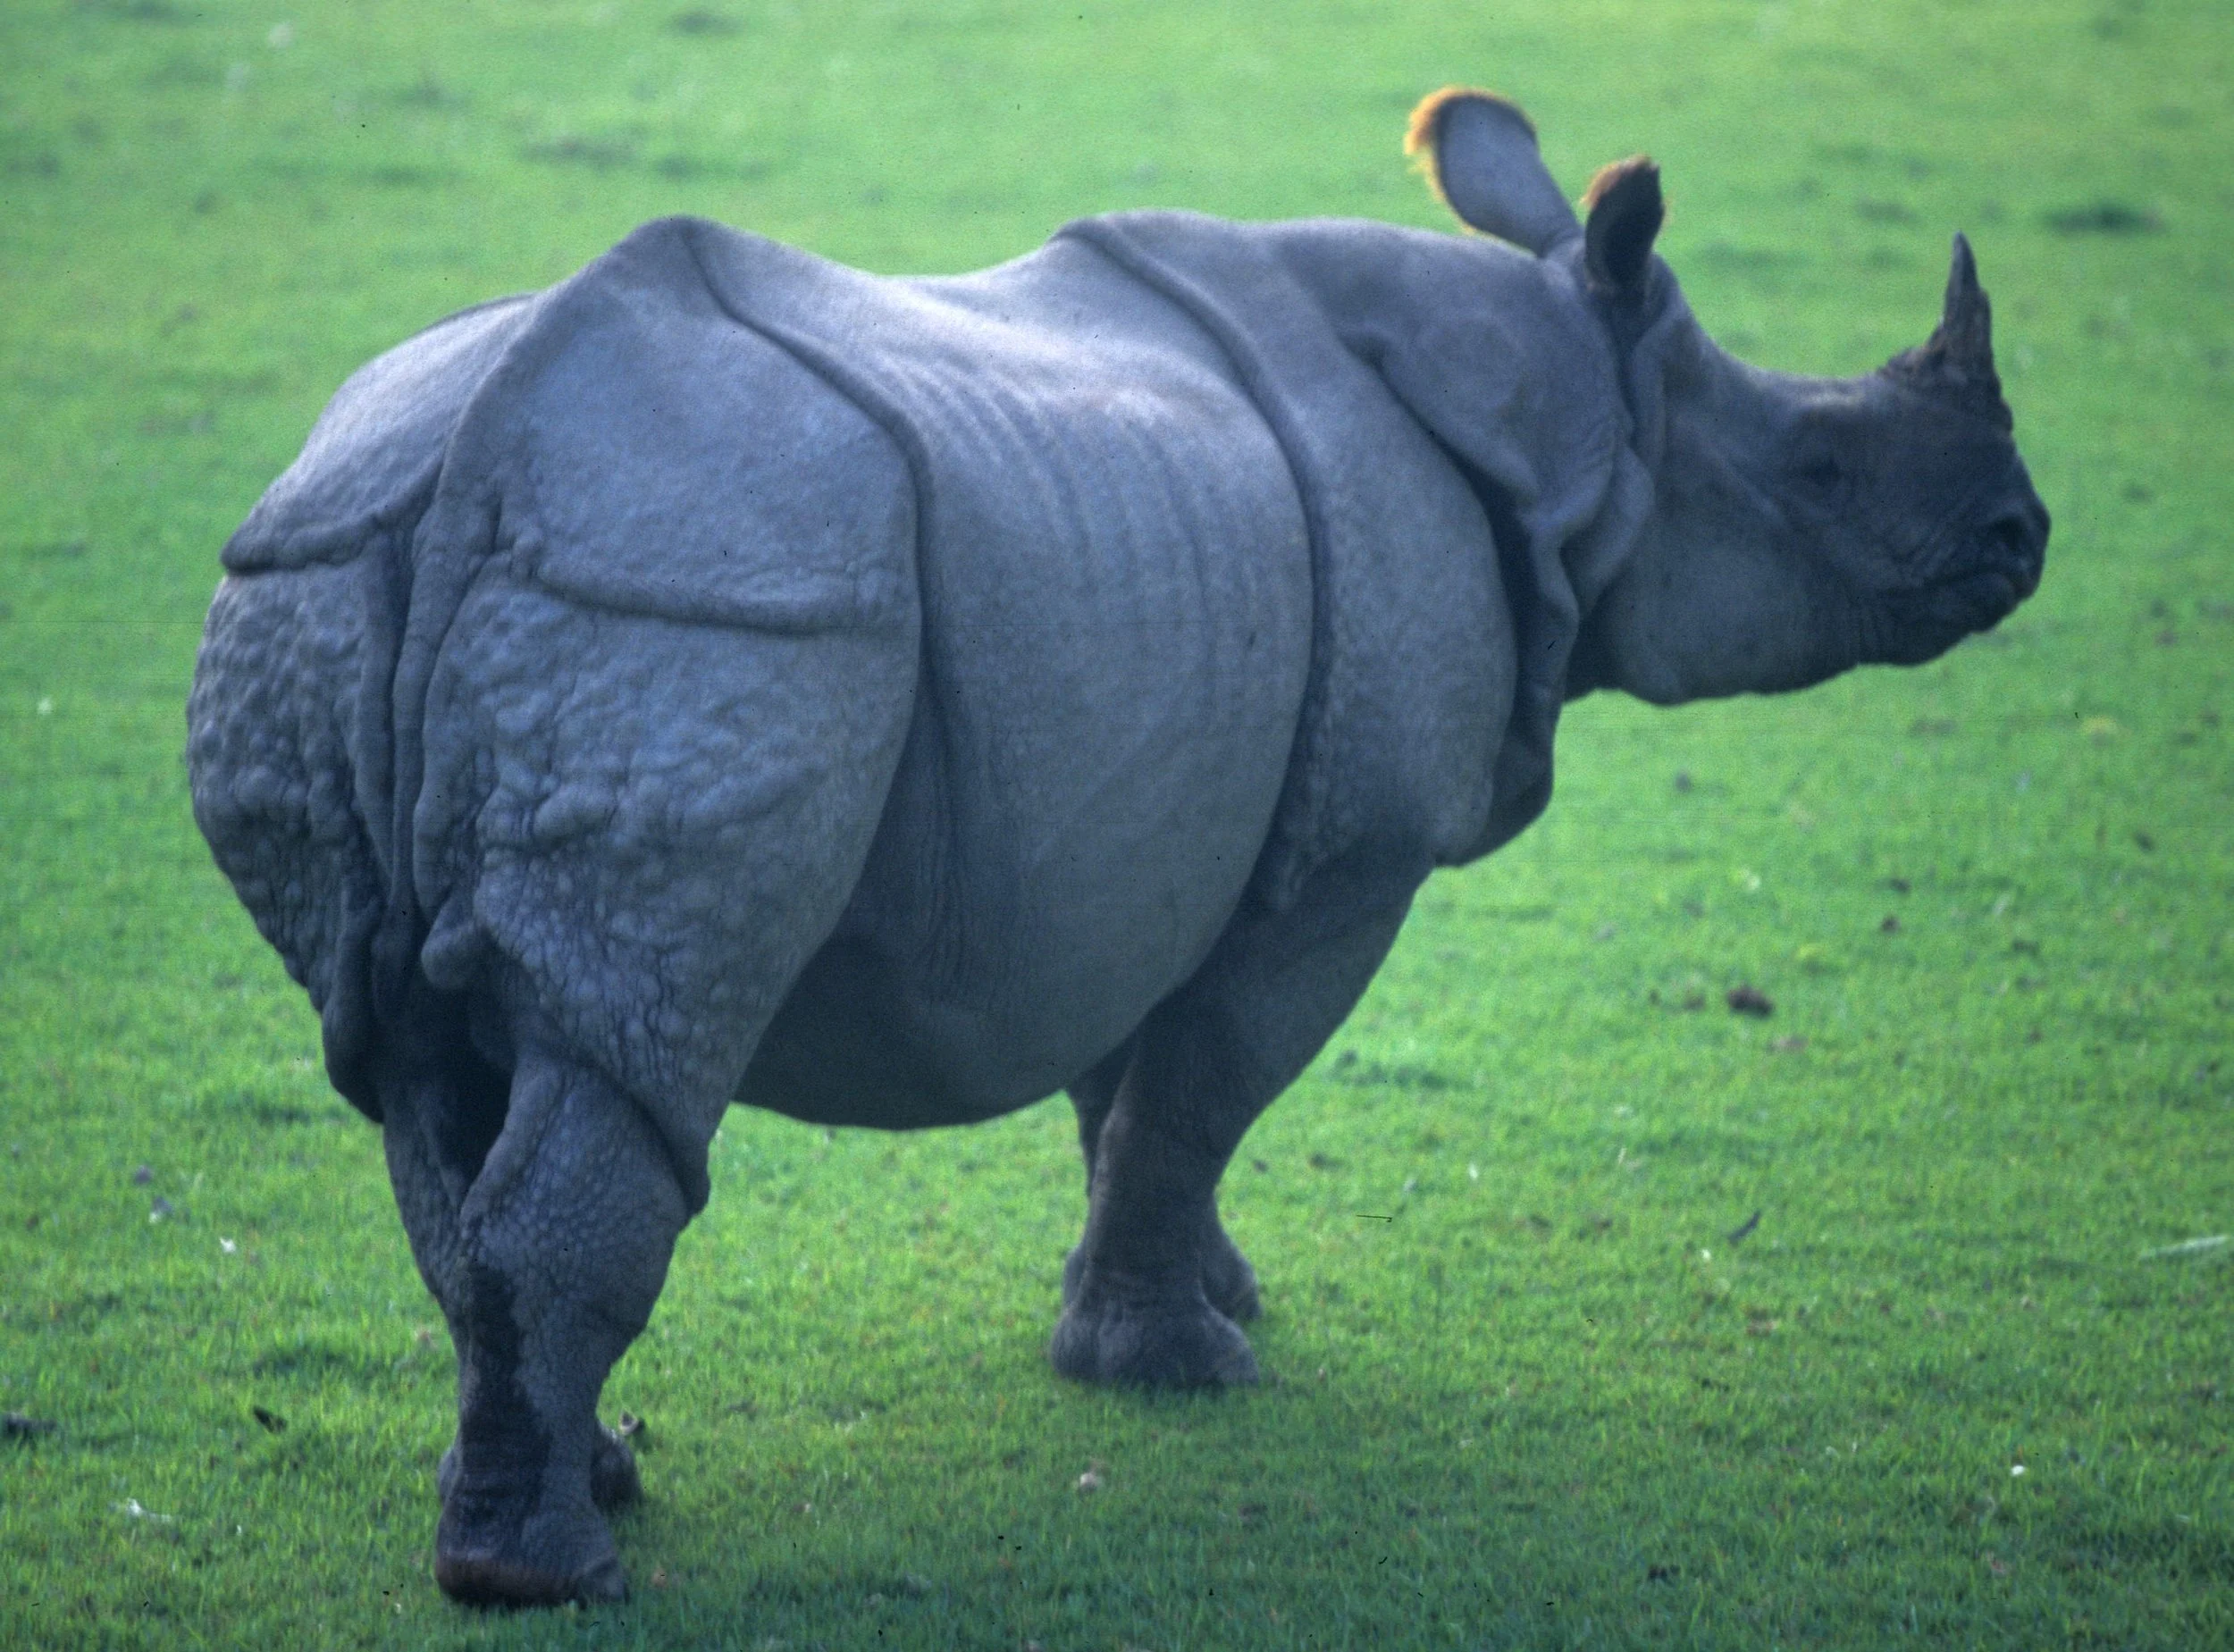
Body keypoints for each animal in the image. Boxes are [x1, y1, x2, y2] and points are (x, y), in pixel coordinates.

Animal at [187, 89, 2047, 1605]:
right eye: (1819, 462)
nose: (2023, 536)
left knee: (423, 1065)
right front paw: (1179, 1370)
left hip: (318, 574)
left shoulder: (1146, 804)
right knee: (625, 1030)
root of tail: (470, 461)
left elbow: (1135, 1084)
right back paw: (552, 1574)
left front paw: (1213, 1296)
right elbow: (1205, 1083)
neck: (1573, 420)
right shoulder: (1345, 853)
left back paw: (585, 1485)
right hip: (702, 602)